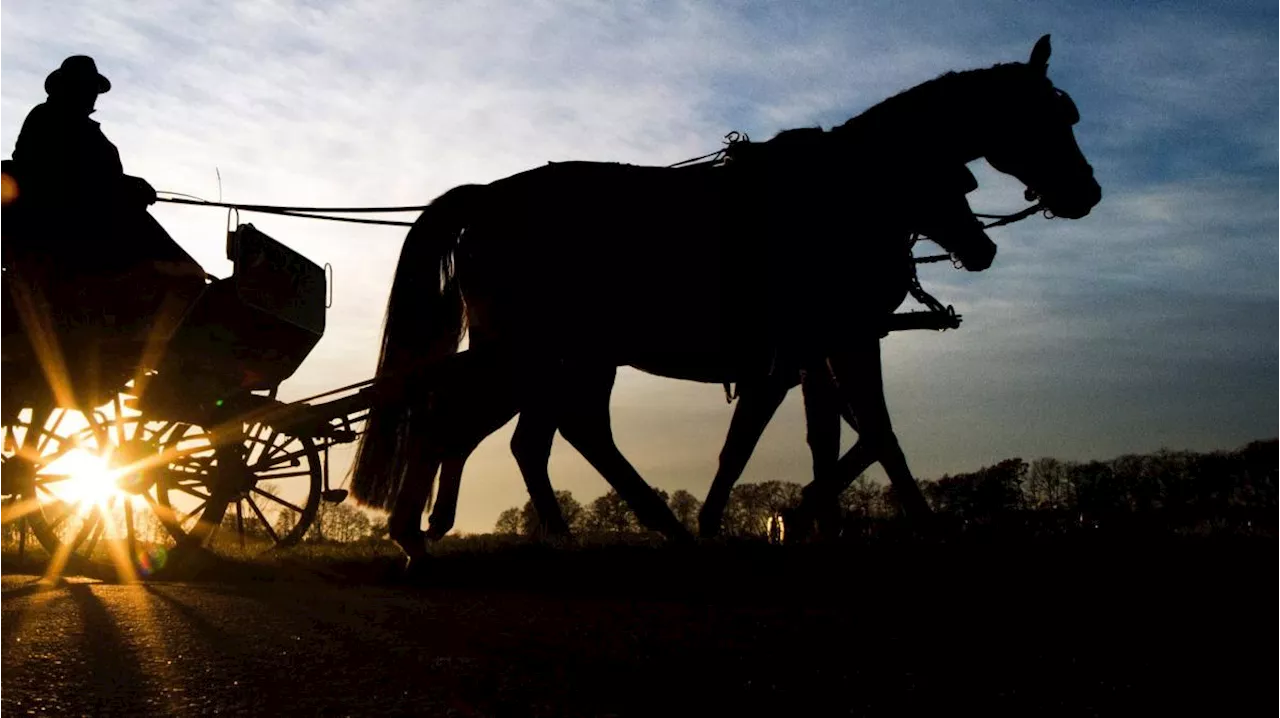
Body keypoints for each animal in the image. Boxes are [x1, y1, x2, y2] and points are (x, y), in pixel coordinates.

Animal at [350, 35, 1100, 565]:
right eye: (1050, 114)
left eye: (1071, 114)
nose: (1087, 193)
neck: (846, 191)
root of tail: (489, 195)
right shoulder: (844, 337)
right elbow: (867, 432)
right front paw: (898, 523)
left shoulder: (808, 352)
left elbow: (822, 437)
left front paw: (806, 522)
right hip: (529, 350)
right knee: (470, 417)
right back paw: (423, 532)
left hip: (564, 355)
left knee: (541, 432)